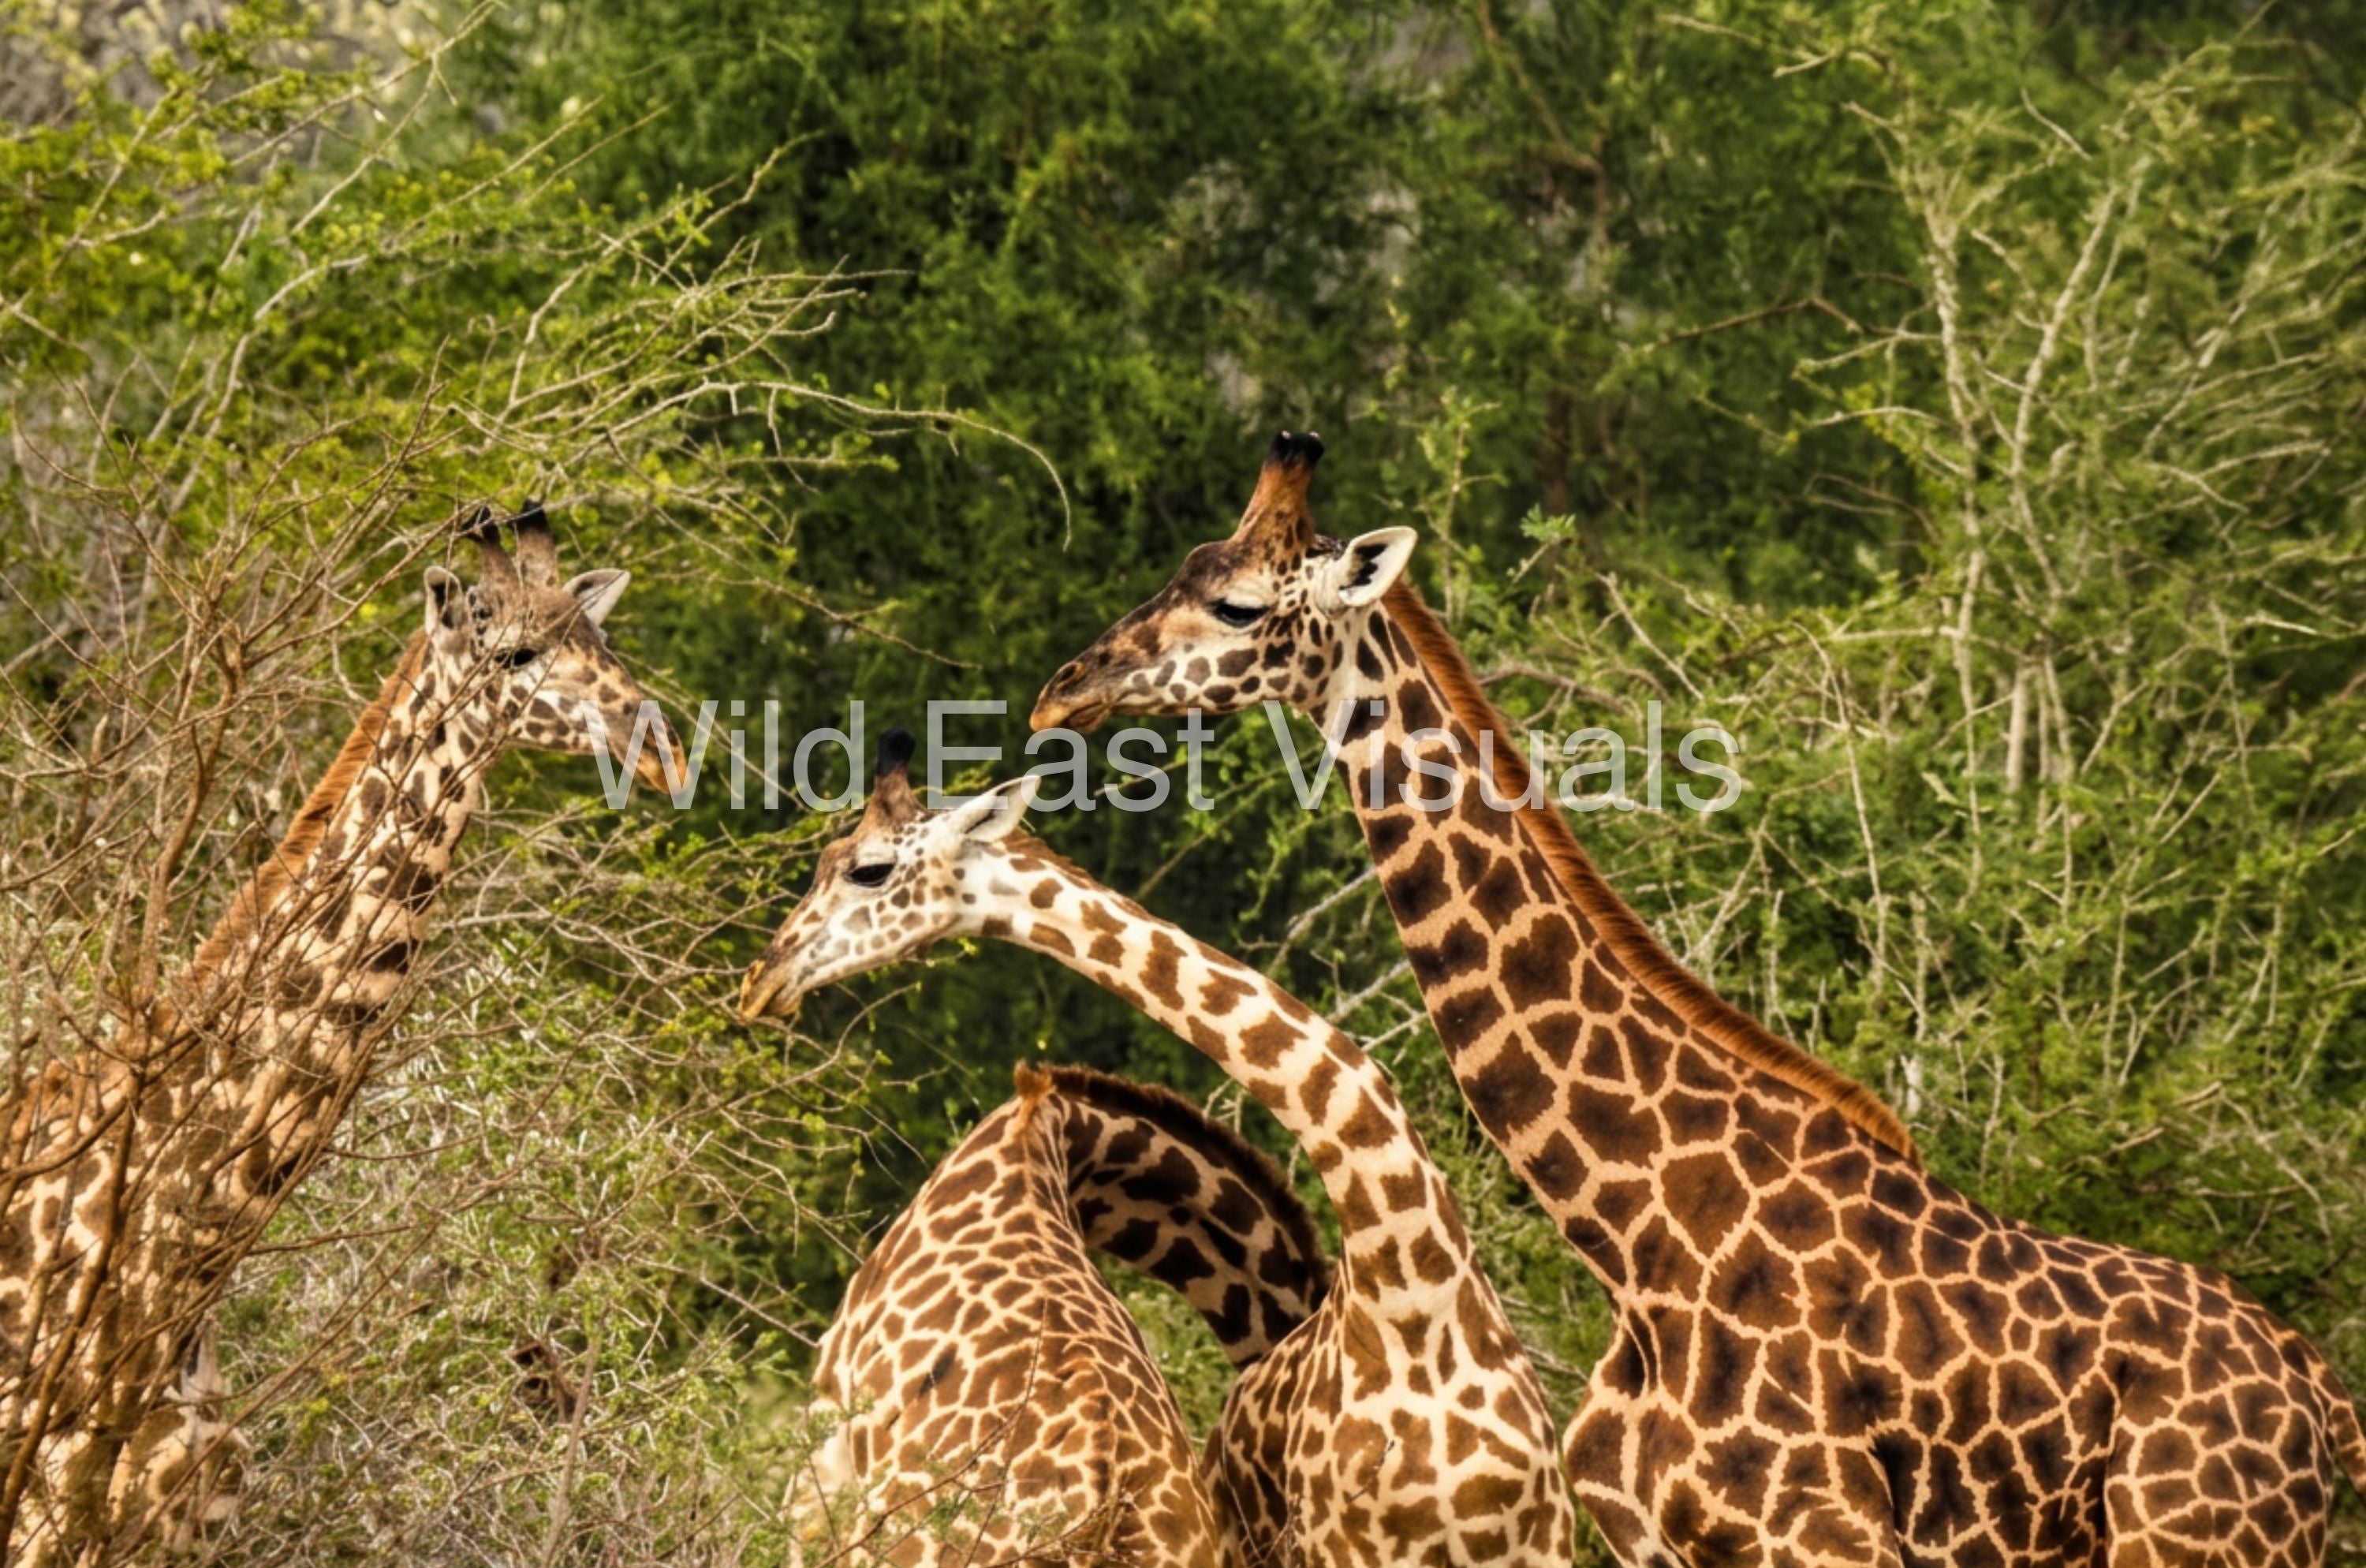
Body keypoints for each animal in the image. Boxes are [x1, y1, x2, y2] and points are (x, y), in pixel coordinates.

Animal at [0, 503, 683, 1564]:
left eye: (603, 643)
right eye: (516, 652)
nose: (662, 748)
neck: (169, 1285)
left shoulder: (164, 1526)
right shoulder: (36, 1511)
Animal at [1027, 432, 2366, 1566]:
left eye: (1239, 604)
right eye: (1183, 568)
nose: (1063, 688)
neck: (1642, 1233)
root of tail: (2329, 1403)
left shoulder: (1817, 1536)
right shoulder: (1652, 1538)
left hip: (2194, 1543)